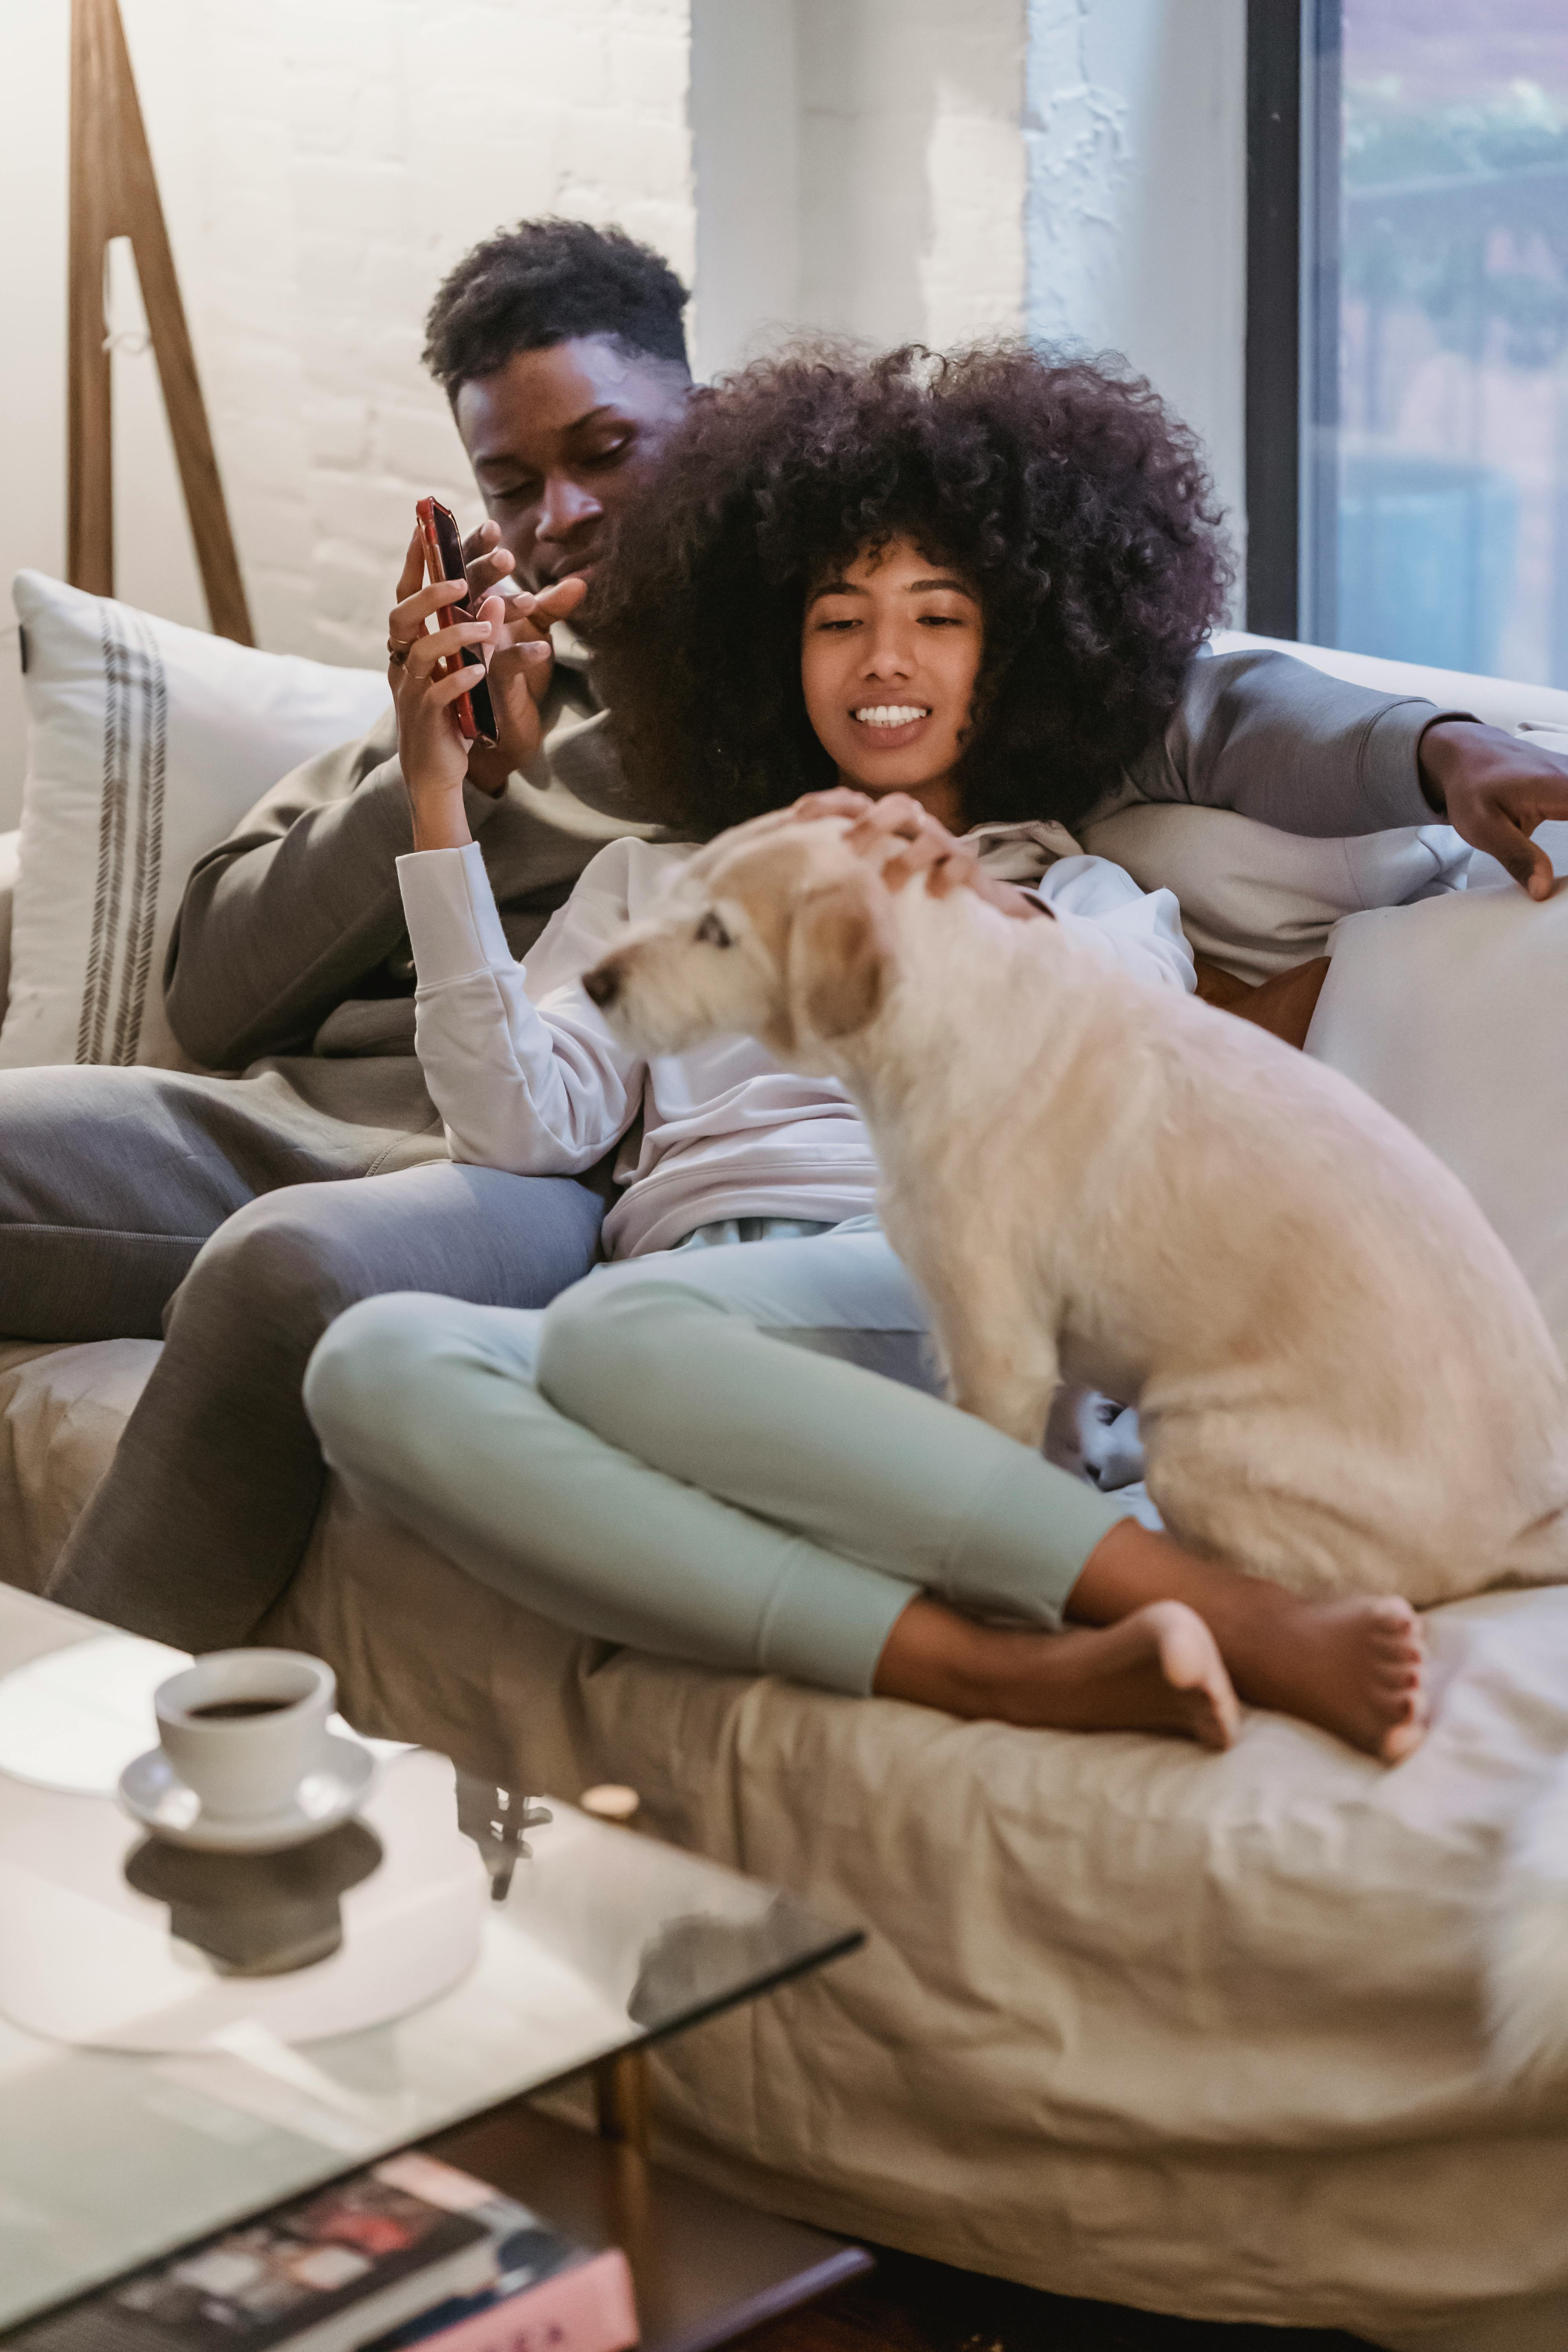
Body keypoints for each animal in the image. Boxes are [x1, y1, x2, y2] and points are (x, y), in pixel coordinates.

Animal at [583, 814, 1568, 1618]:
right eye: (671, 896)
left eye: (717, 932)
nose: (592, 982)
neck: (942, 1016)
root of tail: (1528, 1523)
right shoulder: (1051, 1352)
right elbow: (1053, 1451)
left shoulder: (996, 1350)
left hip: (1195, 1443)